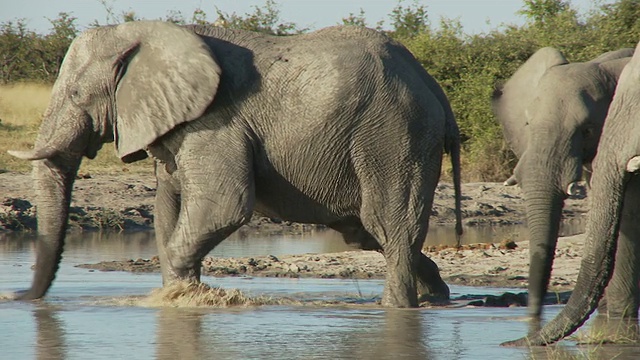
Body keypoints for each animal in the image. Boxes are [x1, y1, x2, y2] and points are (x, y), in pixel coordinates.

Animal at [7, 19, 462, 308]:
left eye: (78, 95)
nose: (14, 297)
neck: (148, 32)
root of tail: (434, 88)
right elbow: (167, 211)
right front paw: (179, 297)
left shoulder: (215, 121)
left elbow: (222, 206)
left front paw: (182, 299)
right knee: (372, 234)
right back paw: (436, 298)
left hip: (394, 134)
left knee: (389, 225)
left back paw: (396, 308)